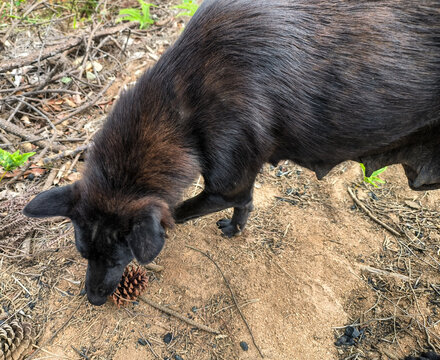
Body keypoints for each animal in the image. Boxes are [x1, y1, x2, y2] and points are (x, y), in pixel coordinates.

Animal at [24, 0, 440, 306]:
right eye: (83, 254)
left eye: (116, 258)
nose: (93, 299)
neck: (179, 105)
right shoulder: (238, 180)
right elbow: (246, 203)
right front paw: (237, 228)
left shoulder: (224, 185)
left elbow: (180, 211)